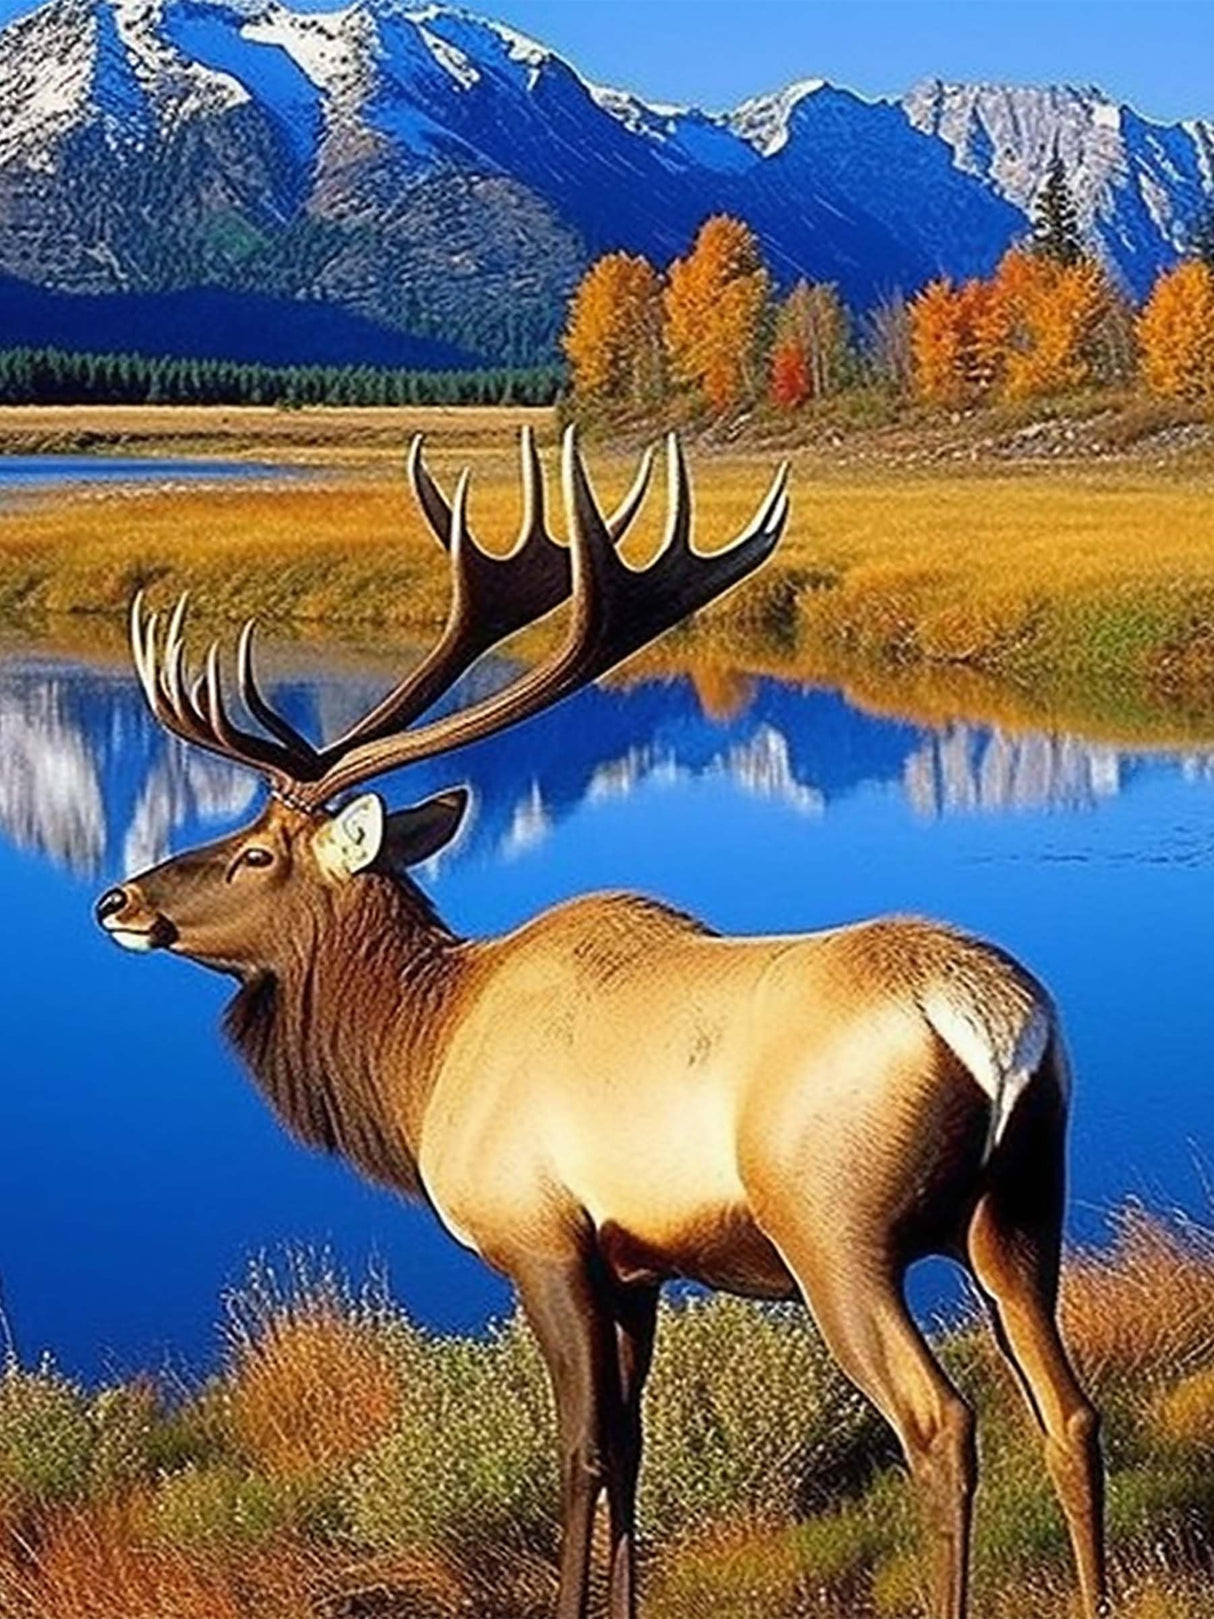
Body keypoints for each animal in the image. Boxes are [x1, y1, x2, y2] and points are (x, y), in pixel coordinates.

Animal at [94, 425, 1105, 1619]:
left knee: (940, 1421)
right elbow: (632, 1448)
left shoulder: (540, 1236)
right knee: (1070, 1410)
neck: (421, 1056)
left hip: (835, 1231)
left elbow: (578, 1450)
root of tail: (994, 1023)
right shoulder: (637, 1264)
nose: (118, 898)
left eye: (254, 850)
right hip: (1020, 1211)